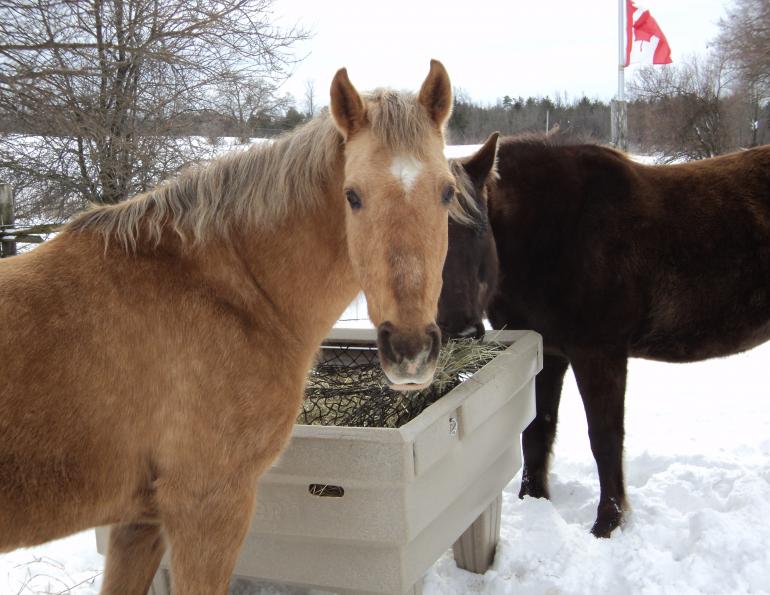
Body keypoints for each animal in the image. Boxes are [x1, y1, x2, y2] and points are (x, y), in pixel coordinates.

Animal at [0, 60, 458, 594]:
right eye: (353, 195)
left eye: (447, 191)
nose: (409, 349)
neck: (231, 293)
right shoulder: (208, 505)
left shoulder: (140, 522)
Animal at [440, 130, 770, 538]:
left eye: (477, 230)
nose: (460, 330)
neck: (554, 229)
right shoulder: (548, 353)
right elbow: (538, 430)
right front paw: (535, 501)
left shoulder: (599, 353)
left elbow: (605, 438)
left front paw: (608, 523)